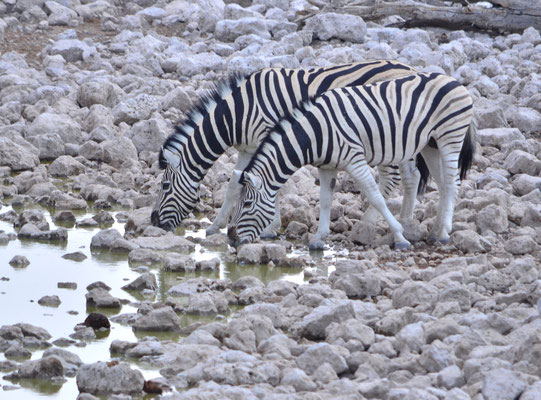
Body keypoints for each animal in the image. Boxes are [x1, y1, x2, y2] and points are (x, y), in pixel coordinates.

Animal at [150, 59, 420, 248]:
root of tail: (410, 68)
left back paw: (370, 221)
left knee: (391, 179)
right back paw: (406, 221)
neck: (238, 113)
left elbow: (271, 186)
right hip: (405, 139)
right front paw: (216, 226)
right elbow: (233, 187)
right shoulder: (248, 148)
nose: (154, 223)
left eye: (164, 186)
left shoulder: (267, 137)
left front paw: (270, 227)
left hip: (385, 138)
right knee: (412, 177)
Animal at [226, 71, 474, 247]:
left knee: (452, 183)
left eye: (246, 204)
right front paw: (318, 239)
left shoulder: (355, 160)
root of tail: (452, 79)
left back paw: (443, 233)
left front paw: (400, 237)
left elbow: (376, 197)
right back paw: (435, 231)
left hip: (450, 138)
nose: (230, 237)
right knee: (442, 184)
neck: (314, 133)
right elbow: (325, 200)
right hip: (430, 144)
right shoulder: (326, 167)